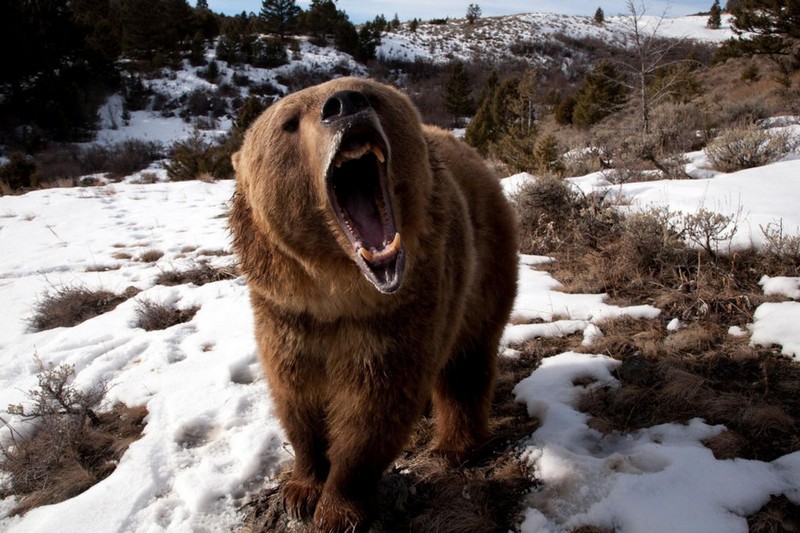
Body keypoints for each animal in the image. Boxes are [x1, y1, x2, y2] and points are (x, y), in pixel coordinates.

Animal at [230, 79, 520, 532]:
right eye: (289, 122)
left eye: (371, 94)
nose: (345, 104)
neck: (337, 292)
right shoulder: (286, 314)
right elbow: (296, 396)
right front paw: (301, 490)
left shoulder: (396, 314)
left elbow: (373, 409)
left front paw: (337, 508)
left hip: (483, 266)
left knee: (466, 361)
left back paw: (453, 446)